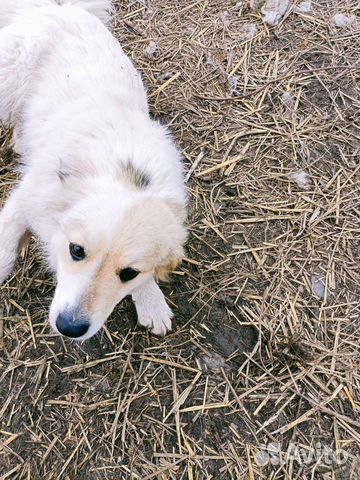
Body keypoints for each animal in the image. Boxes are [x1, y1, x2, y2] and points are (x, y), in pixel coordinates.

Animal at [0, 0, 186, 340]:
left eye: (129, 272)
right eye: (76, 250)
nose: (70, 327)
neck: (127, 173)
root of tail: (58, 8)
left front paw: (151, 301)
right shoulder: (23, 201)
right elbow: (5, 250)